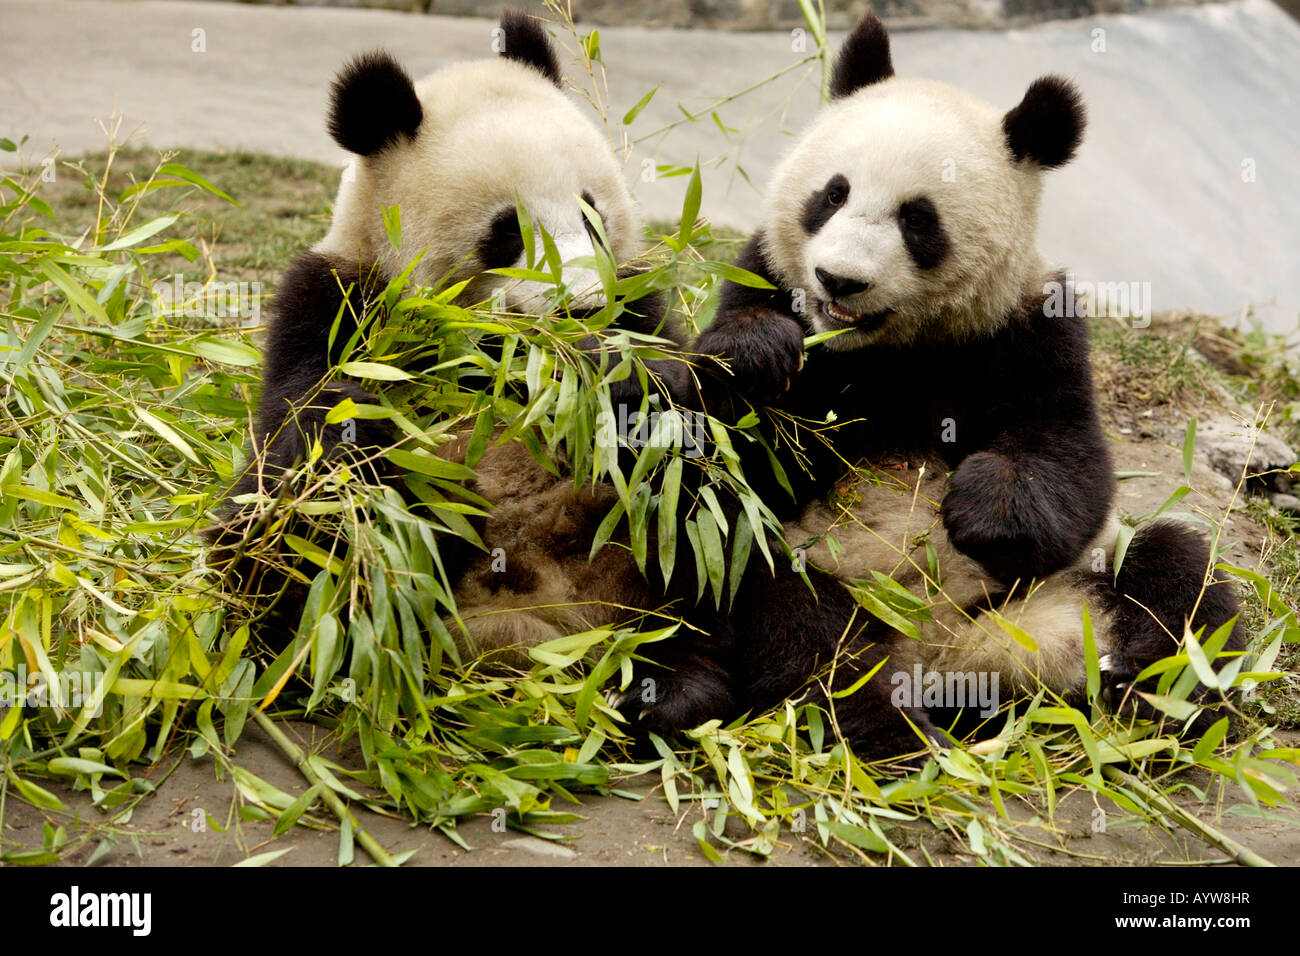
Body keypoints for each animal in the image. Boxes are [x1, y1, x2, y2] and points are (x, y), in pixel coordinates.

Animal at [606, 13, 1247, 757]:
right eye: (833, 194)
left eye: (918, 218)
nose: (838, 281)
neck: (888, 348)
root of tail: (953, 659)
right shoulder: (764, 276)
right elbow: (735, 449)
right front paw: (759, 355)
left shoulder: (1027, 327)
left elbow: (1068, 459)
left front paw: (984, 509)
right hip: (812, 569)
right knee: (803, 626)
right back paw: (887, 730)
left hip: (1071, 592)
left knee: (1176, 575)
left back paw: (1163, 705)